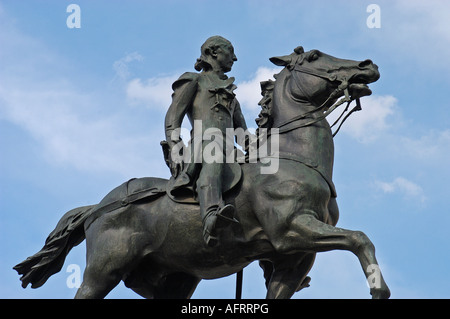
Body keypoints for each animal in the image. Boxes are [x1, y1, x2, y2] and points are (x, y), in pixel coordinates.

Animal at [14, 45, 390, 300]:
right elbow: (360, 238)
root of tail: (99, 207)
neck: (291, 159)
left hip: (173, 277)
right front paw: (379, 289)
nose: (367, 65)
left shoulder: (294, 259)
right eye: (313, 56)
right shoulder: (293, 230)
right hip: (104, 269)